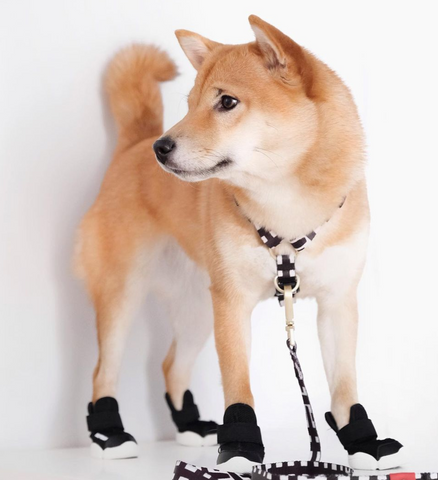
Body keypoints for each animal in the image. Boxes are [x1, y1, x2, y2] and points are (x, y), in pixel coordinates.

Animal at [75, 15, 404, 472]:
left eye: (227, 102)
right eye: (190, 103)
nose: (162, 147)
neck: (287, 207)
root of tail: (132, 147)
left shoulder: (338, 302)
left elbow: (344, 385)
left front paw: (361, 441)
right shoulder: (232, 302)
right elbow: (237, 383)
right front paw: (240, 447)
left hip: (196, 307)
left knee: (171, 365)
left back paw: (190, 426)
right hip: (122, 293)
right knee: (103, 371)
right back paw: (109, 436)